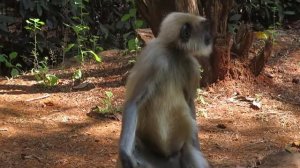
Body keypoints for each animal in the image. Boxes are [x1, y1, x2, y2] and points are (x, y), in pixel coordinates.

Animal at [117, 11, 213, 168]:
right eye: (206, 29)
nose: (210, 36)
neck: (174, 52)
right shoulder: (156, 59)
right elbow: (133, 102)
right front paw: (125, 153)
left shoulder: (192, 65)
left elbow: (189, 102)